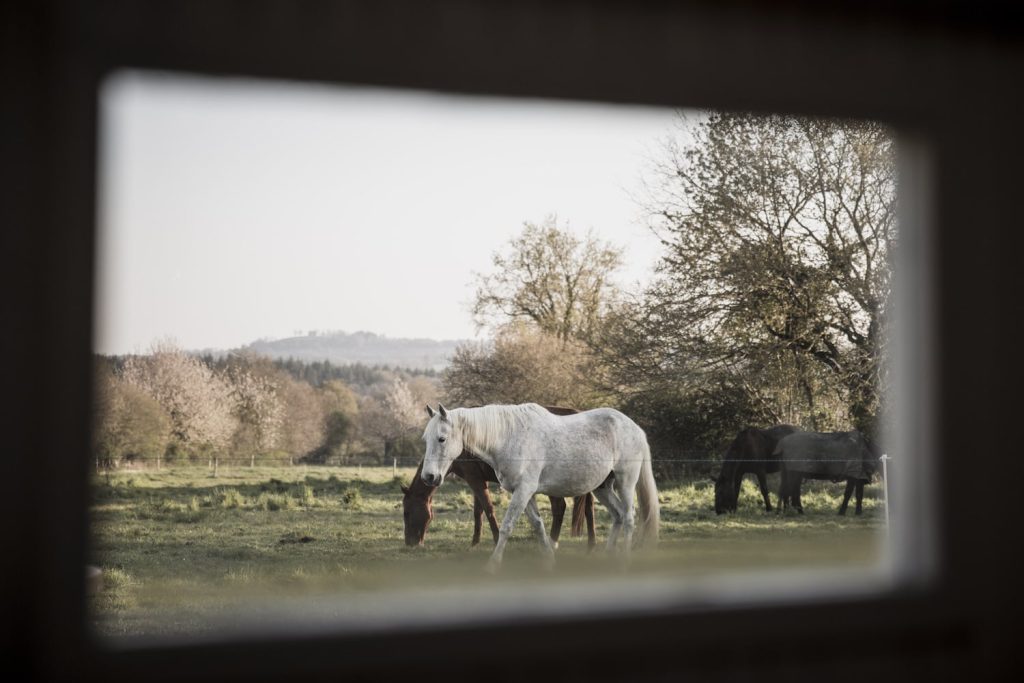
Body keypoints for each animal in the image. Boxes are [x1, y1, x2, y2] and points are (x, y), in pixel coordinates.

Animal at [400, 455, 596, 548]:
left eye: (406, 513)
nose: (410, 543)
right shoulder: (478, 479)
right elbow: (478, 511)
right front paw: (475, 542)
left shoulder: (474, 478)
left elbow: (488, 508)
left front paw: (495, 539)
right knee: (588, 508)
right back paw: (590, 544)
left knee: (560, 507)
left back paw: (553, 543)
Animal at [421, 403, 659, 571]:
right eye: (426, 439)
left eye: (441, 439)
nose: (429, 476)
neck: (509, 437)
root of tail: (635, 428)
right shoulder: (524, 493)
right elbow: (537, 524)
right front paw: (549, 560)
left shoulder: (524, 490)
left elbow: (507, 526)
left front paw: (493, 565)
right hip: (603, 488)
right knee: (618, 515)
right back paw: (609, 555)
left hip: (625, 481)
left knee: (628, 516)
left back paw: (625, 559)